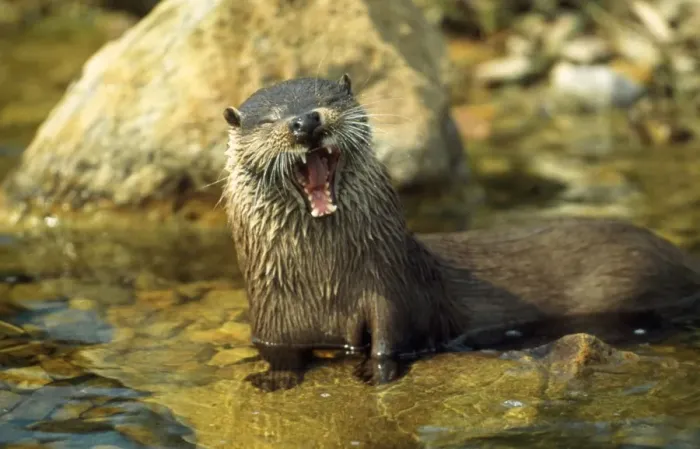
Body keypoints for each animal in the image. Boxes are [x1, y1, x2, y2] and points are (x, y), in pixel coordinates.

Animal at [222, 75, 700, 391]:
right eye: (269, 120)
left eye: (329, 98)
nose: (305, 122)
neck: (326, 284)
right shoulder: (271, 318)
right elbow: (279, 353)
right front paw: (275, 377)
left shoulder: (390, 292)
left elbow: (389, 339)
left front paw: (376, 371)